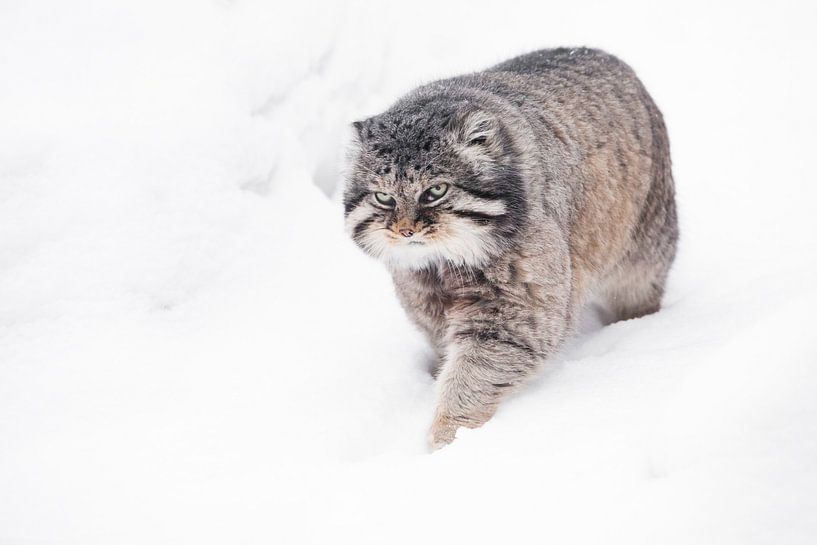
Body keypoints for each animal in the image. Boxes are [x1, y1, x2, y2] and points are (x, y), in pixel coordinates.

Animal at [342, 47, 676, 446]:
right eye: (383, 198)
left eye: (435, 191)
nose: (405, 230)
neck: (445, 265)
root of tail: (607, 55)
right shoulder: (425, 303)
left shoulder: (516, 309)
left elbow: (474, 372)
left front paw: (448, 436)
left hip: (642, 253)